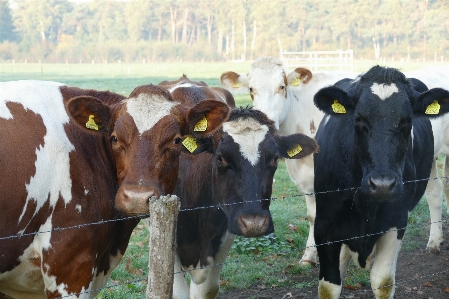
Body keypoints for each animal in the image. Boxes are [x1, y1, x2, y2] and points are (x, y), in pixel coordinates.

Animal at [312, 66, 448, 299]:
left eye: (407, 121)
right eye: (358, 119)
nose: (383, 184)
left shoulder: (396, 220)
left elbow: (382, 281)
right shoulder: (324, 225)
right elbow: (329, 286)